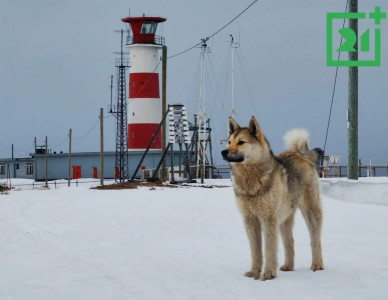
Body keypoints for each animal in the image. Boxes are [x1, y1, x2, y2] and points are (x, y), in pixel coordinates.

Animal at [221, 116, 324, 280]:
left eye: (241, 142)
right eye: (229, 141)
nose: (223, 152)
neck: (251, 178)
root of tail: (299, 154)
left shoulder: (268, 219)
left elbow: (269, 248)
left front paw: (269, 273)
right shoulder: (249, 220)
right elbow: (256, 251)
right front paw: (254, 272)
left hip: (311, 211)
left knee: (315, 240)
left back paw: (317, 265)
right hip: (284, 218)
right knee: (290, 242)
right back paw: (288, 266)